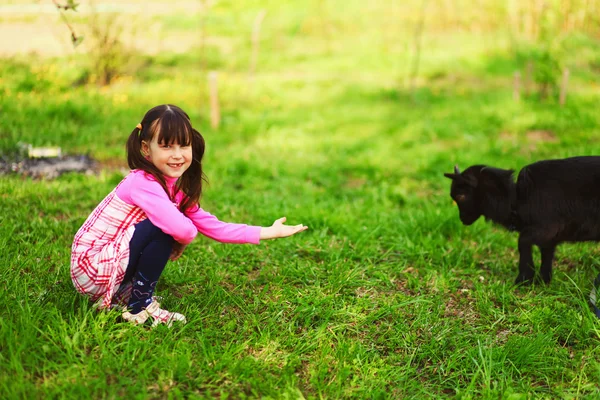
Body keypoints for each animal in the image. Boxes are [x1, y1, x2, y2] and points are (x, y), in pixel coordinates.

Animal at [446, 156, 600, 284]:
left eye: (460, 196)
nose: (462, 218)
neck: (516, 199)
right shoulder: (549, 238)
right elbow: (546, 255)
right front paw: (543, 281)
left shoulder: (547, 228)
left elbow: (523, 241)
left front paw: (523, 279)